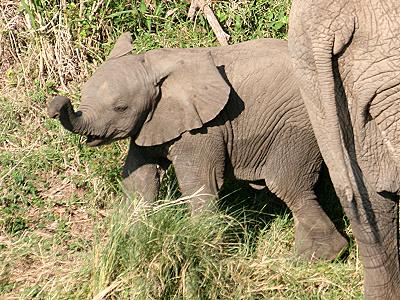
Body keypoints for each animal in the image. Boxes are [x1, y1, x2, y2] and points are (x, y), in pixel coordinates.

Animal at [47, 31, 346, 258]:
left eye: (121, 108)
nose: (55, 105)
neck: (153, 66)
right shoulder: (152, 122)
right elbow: (140, 182)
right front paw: (128, 238)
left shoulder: (204, 129)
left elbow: (199, 183)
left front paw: (206, 250)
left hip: (302, 123)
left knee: (286, 184)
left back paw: (320, 257)